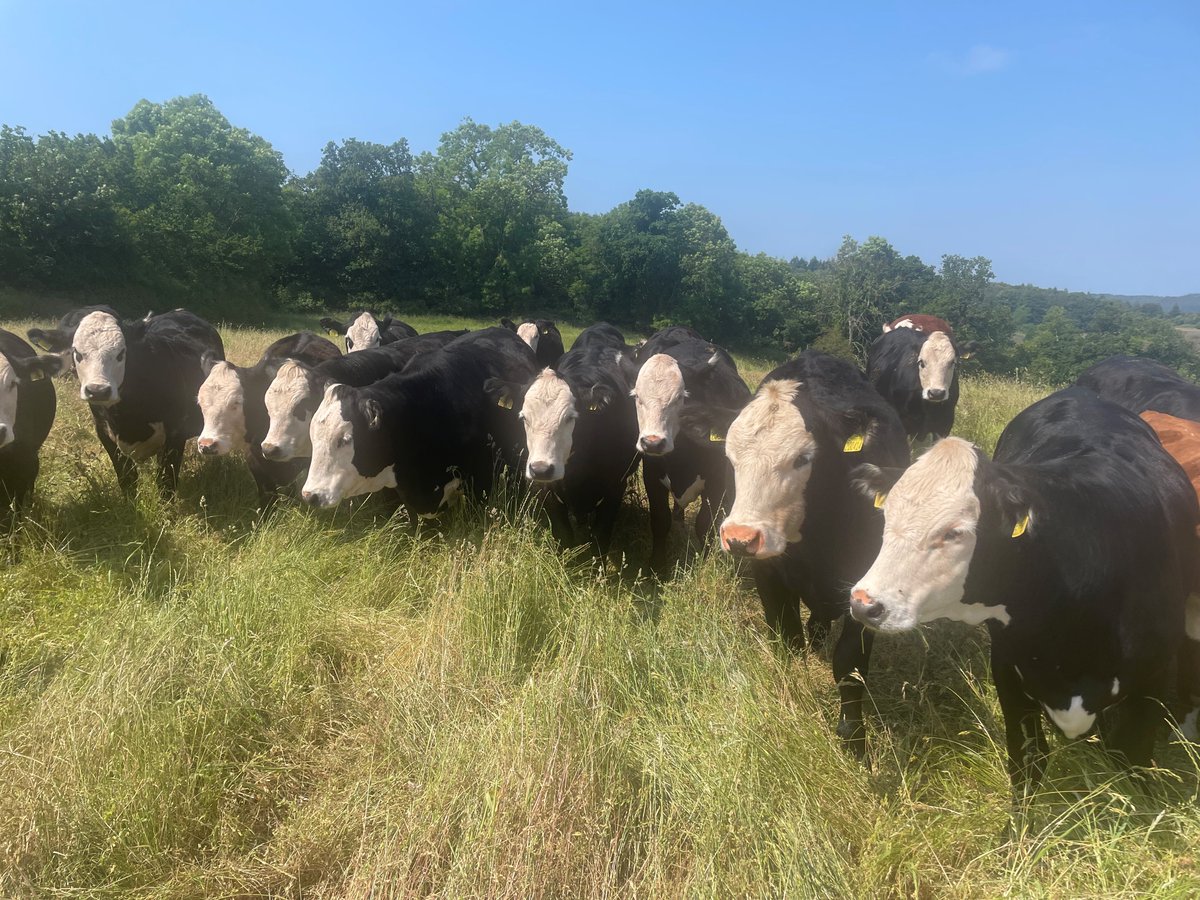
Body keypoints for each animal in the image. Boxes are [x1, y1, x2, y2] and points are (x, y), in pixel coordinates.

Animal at [33, 308, 225, 494]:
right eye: (77, 353)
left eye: (121, 353)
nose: (98, 391)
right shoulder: (104, 432)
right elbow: (127, 479)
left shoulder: (176, 433)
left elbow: (166, 482)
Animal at [487, 323, 639, 557]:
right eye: (524, 417)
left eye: (570, 417)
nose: (541, 469)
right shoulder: (546, 489)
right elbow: (563, 535)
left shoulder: (616, 485)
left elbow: (600, 537)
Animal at [630, 325, 751, 576]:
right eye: (637, 396)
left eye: (681, 397)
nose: (653, 443)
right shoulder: (652, 475)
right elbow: (660, 520)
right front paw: (656, 565)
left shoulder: (716, 482)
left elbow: (704, 525)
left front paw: (703, 565)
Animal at [718, 350, 911, 758]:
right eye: (730, 456)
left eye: (802, 458)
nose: (740, 537)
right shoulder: (769, 575)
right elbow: (786, 639)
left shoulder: (865, 589)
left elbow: (850, 665)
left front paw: (854, 739)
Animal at [849, 387, 1200, 798]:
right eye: (887, 516)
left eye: (954, 532)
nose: (864, 603)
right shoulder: (1008, 670)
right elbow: (1027, 763)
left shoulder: (1150, 686)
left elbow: (1133, 768)